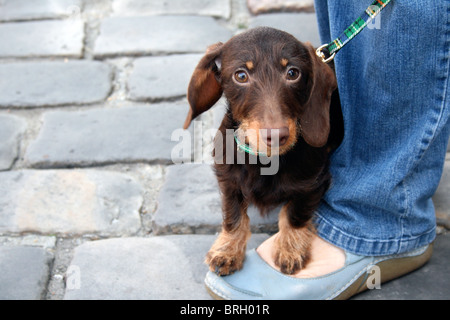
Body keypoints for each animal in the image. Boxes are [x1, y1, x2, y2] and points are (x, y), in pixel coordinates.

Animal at [185, 27, 342, 276]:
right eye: (241, 76)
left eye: (293, 73)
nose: (277, 136)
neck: (266, 161)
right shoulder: (228, 180)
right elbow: (234, 216)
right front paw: (227, 251)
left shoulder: (314, 182)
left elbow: (294, 214)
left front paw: (290, 249)